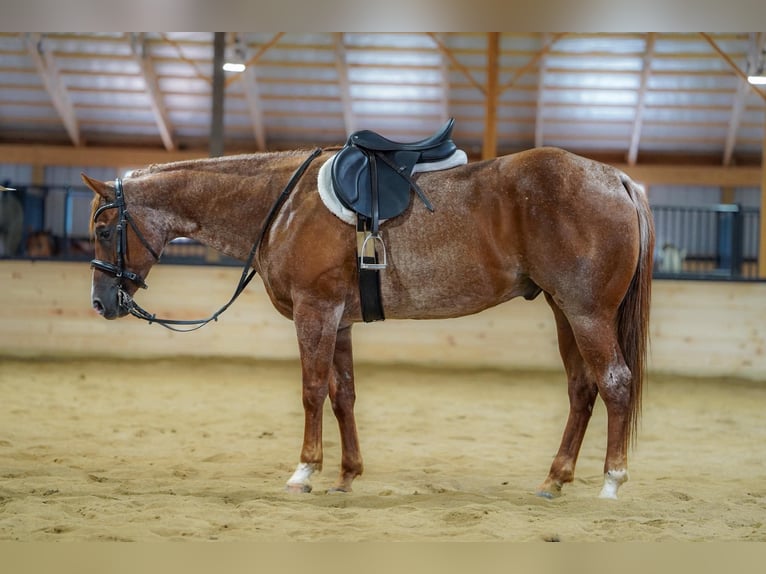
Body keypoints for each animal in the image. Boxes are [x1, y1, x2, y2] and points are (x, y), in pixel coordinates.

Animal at [82, 144, 654, 499]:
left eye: (105, 229)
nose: (101, 302)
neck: (282, 205)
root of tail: (616, 178)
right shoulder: (338, 321)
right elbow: (343, 394)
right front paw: (346, 476)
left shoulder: (314, 311)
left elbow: (312, 390)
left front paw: (304, 471)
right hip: (564, 311)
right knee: (582, 389)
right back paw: (554, 479)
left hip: (586, 313)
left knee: (614, 383)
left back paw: (612, 481)